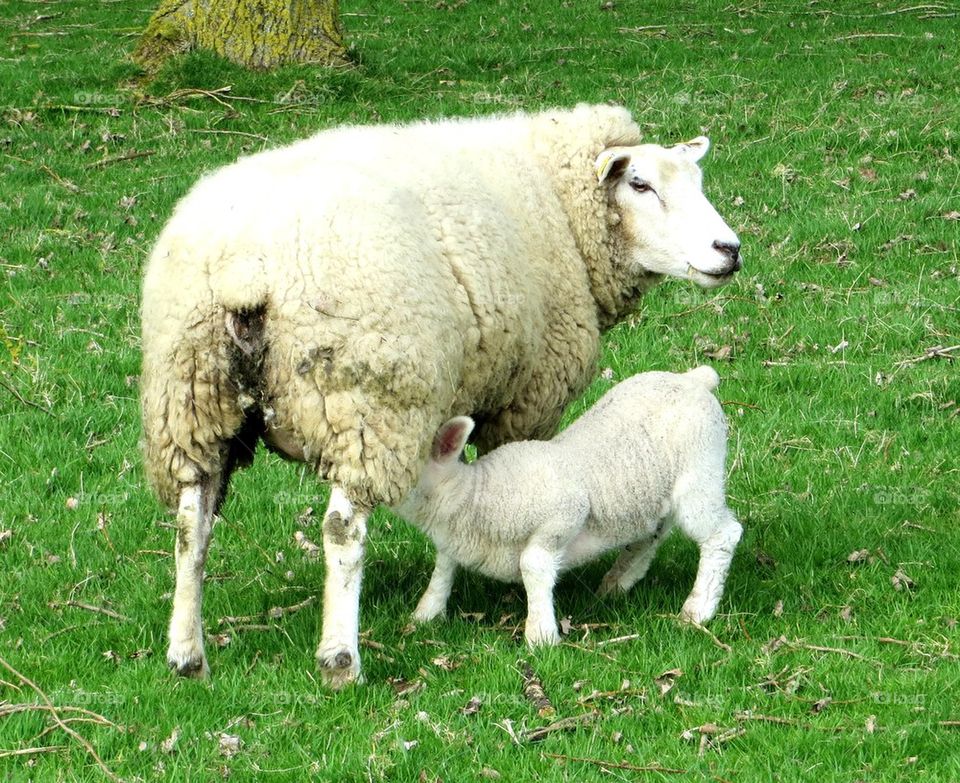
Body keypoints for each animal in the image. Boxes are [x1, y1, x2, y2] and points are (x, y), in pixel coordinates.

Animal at [394, 367, 742, 646]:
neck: (477, 494)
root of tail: (694, 379)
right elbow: (444, 564)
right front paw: (427, 611)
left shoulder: (566, 512)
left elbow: (532, 564)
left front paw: (541, 635)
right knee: (652, 532)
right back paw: (618, 580)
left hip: (701, 469)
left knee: (722, 534)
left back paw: (698, 608)